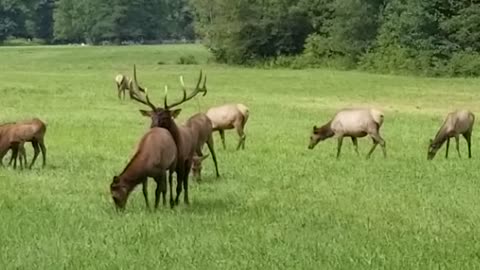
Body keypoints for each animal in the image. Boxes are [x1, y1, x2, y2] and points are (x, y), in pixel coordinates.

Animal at [130, 64, 207, 206]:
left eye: (165, 117)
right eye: (151, 116)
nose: (152, 128)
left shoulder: (181, 161)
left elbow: (179, 185)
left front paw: (175, 202)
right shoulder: (166, 165)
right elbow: (164, 186)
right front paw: (165, 203)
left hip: (189, 158)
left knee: (185, 181)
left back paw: (186, 200)